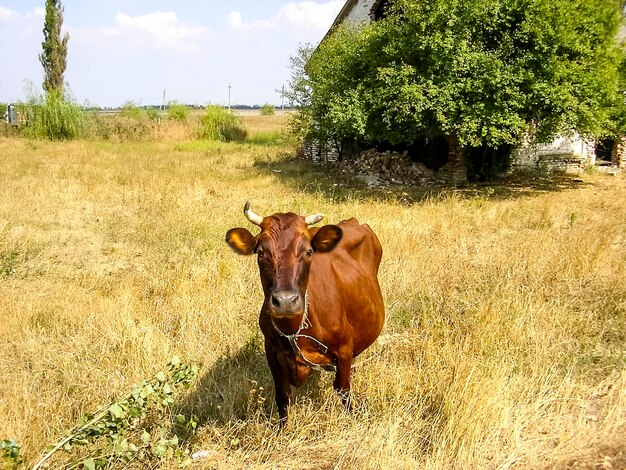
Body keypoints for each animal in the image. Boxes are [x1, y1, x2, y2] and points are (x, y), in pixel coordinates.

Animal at [222, 204, 382, 424]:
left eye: (308, 251)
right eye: (261, 253)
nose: (285, 301)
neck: (294, 328)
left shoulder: (344, 349)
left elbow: (343, 389)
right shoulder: (271, 350)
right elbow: (282, 395)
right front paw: (281, 429)